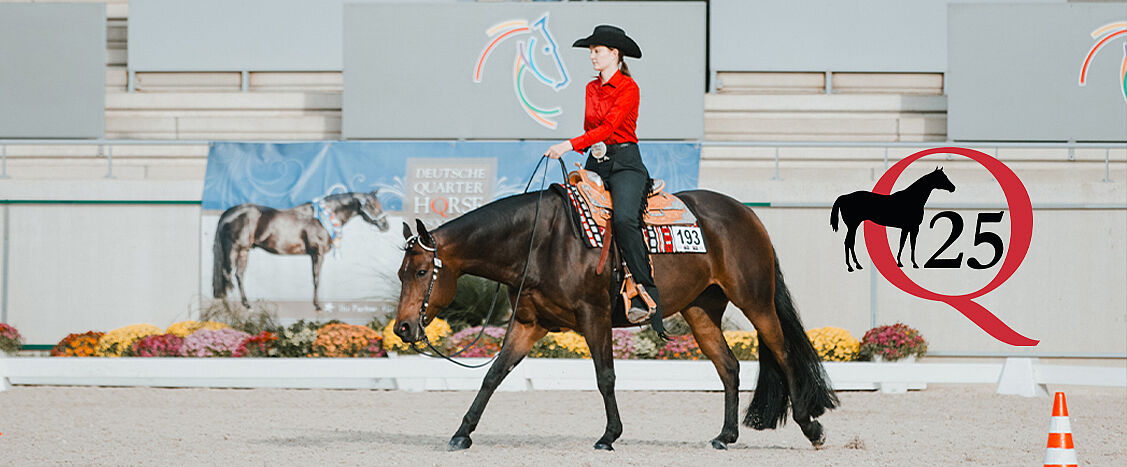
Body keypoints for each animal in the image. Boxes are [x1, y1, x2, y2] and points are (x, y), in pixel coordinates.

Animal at [212, 191, 390, 310]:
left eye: (379, 205)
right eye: (371, 205)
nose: (385, 225)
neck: (321, 218)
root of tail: (229, 212)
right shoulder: (317, 254)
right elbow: (316, 279)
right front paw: (317, 305)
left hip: (244, 250)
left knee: (239, 275)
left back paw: (246, 303)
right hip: (234, 248)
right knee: (227, 274)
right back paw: (229, 305)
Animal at [392, 188, 838, 451]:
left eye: (421, 271)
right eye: (400, 273)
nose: (403, 328)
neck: (541, 241)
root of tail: (746, 213)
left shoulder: (595, 317)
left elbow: (605, 376)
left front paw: (609, 435)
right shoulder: (528, 324)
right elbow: (493, 376)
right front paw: (462, 432)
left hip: (755, 302)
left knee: (783, 353)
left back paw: (810, 427)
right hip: (701, 311)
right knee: (728, 367)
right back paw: (726, 436)